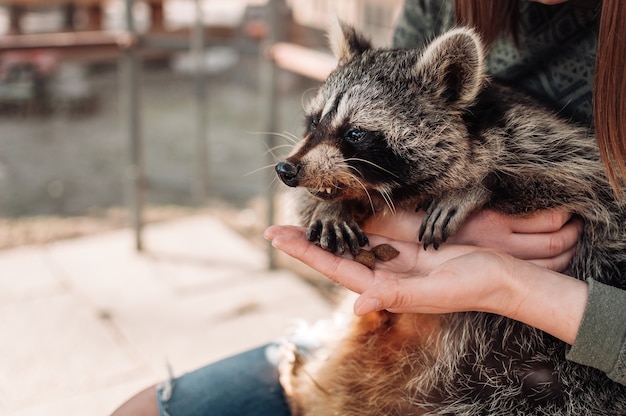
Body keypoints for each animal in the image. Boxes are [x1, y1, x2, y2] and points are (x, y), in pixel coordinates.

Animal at [274, 23, 626, 416]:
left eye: (355, 133)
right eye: (314, 121)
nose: (287, 170)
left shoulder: (550, 143)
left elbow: (582, 183)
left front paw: (478, 186)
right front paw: (335, 206)